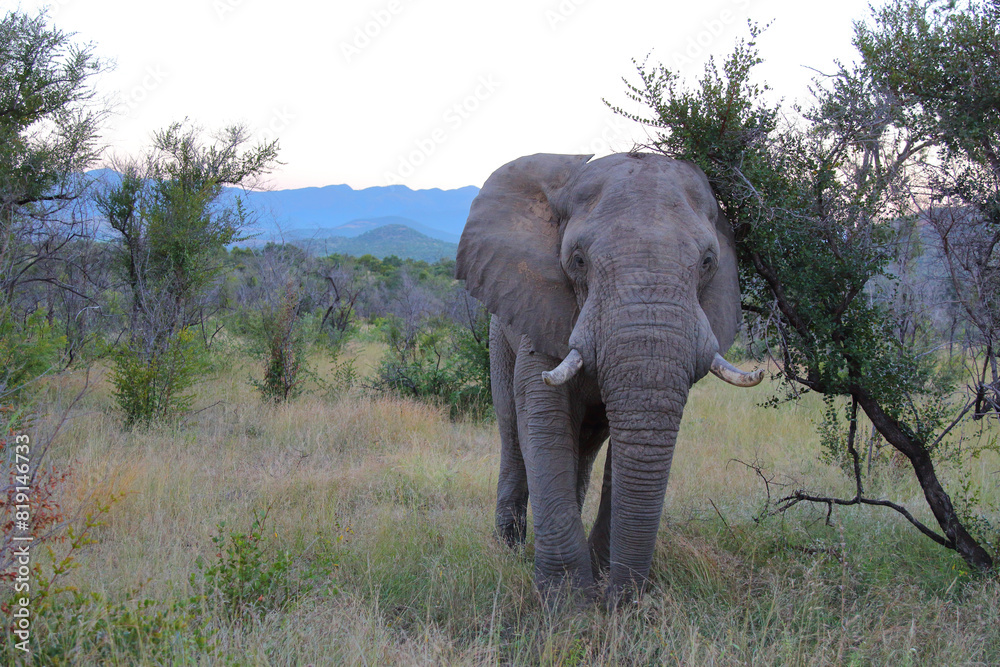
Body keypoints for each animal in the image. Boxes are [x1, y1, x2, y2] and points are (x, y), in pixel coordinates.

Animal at [455, 152, 763, 604]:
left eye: (708, 262)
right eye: (578, 260)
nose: (621, 602)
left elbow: (635, 440)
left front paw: (599, 585)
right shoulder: (539, 312)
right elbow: (542, 420)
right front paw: (568, 605)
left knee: (584, 448)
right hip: (499, 336)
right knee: (513, 437)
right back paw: (508, 551)